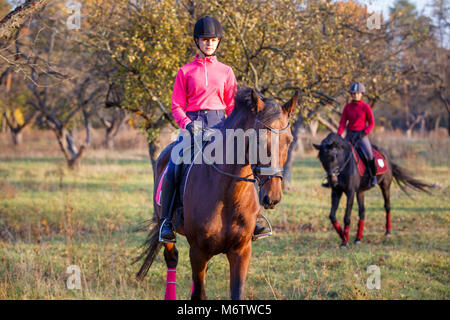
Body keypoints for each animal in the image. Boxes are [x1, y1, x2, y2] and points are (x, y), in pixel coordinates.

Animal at [135, 86, 300, 298]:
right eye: (260, 140)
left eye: (289, 140)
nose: (273, 197)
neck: (228, 195)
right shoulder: (198, 252)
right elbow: (198, 294)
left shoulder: (241, 252)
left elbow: (235, 292)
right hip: (167, 229)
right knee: (171, 258)